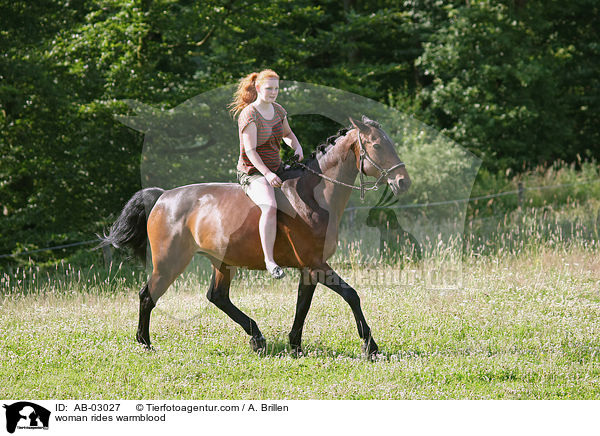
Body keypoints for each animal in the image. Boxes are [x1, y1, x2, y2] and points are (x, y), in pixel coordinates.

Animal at [104, 116, 412, 358]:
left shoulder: (310, 268)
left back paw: (257, 337)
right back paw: (145, 344)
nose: (403, 182)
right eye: (376, 145)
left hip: (222, 262)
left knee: (217, 297)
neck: (314, 196)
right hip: (170, 263)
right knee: (147, 296)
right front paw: (371, 347)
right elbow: (351, 295)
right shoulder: (317, 265)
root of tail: (163, 196)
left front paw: (295, 346)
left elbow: (303, 306)